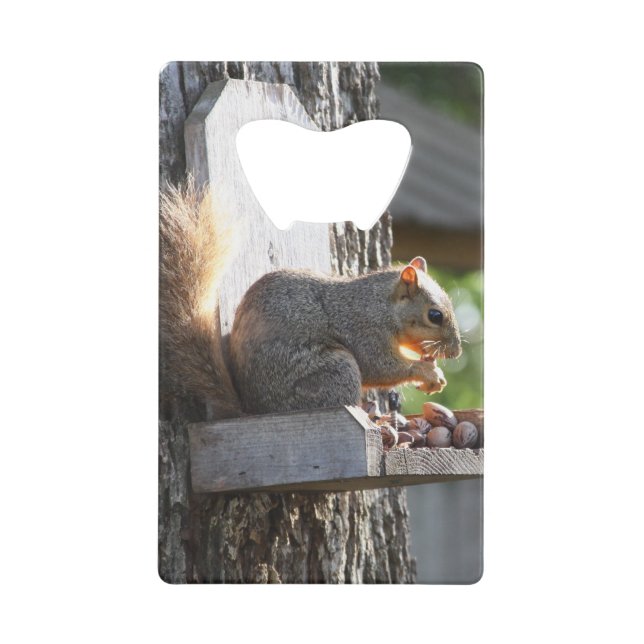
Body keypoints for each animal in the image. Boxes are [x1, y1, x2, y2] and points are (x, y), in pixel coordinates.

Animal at [160, 180, 462, 420]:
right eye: (435, 315)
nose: (456, 352)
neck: (381, 305)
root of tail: (254, 409)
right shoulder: (364, 329)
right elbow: (380, 366)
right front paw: (426, 371)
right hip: (334, 370)